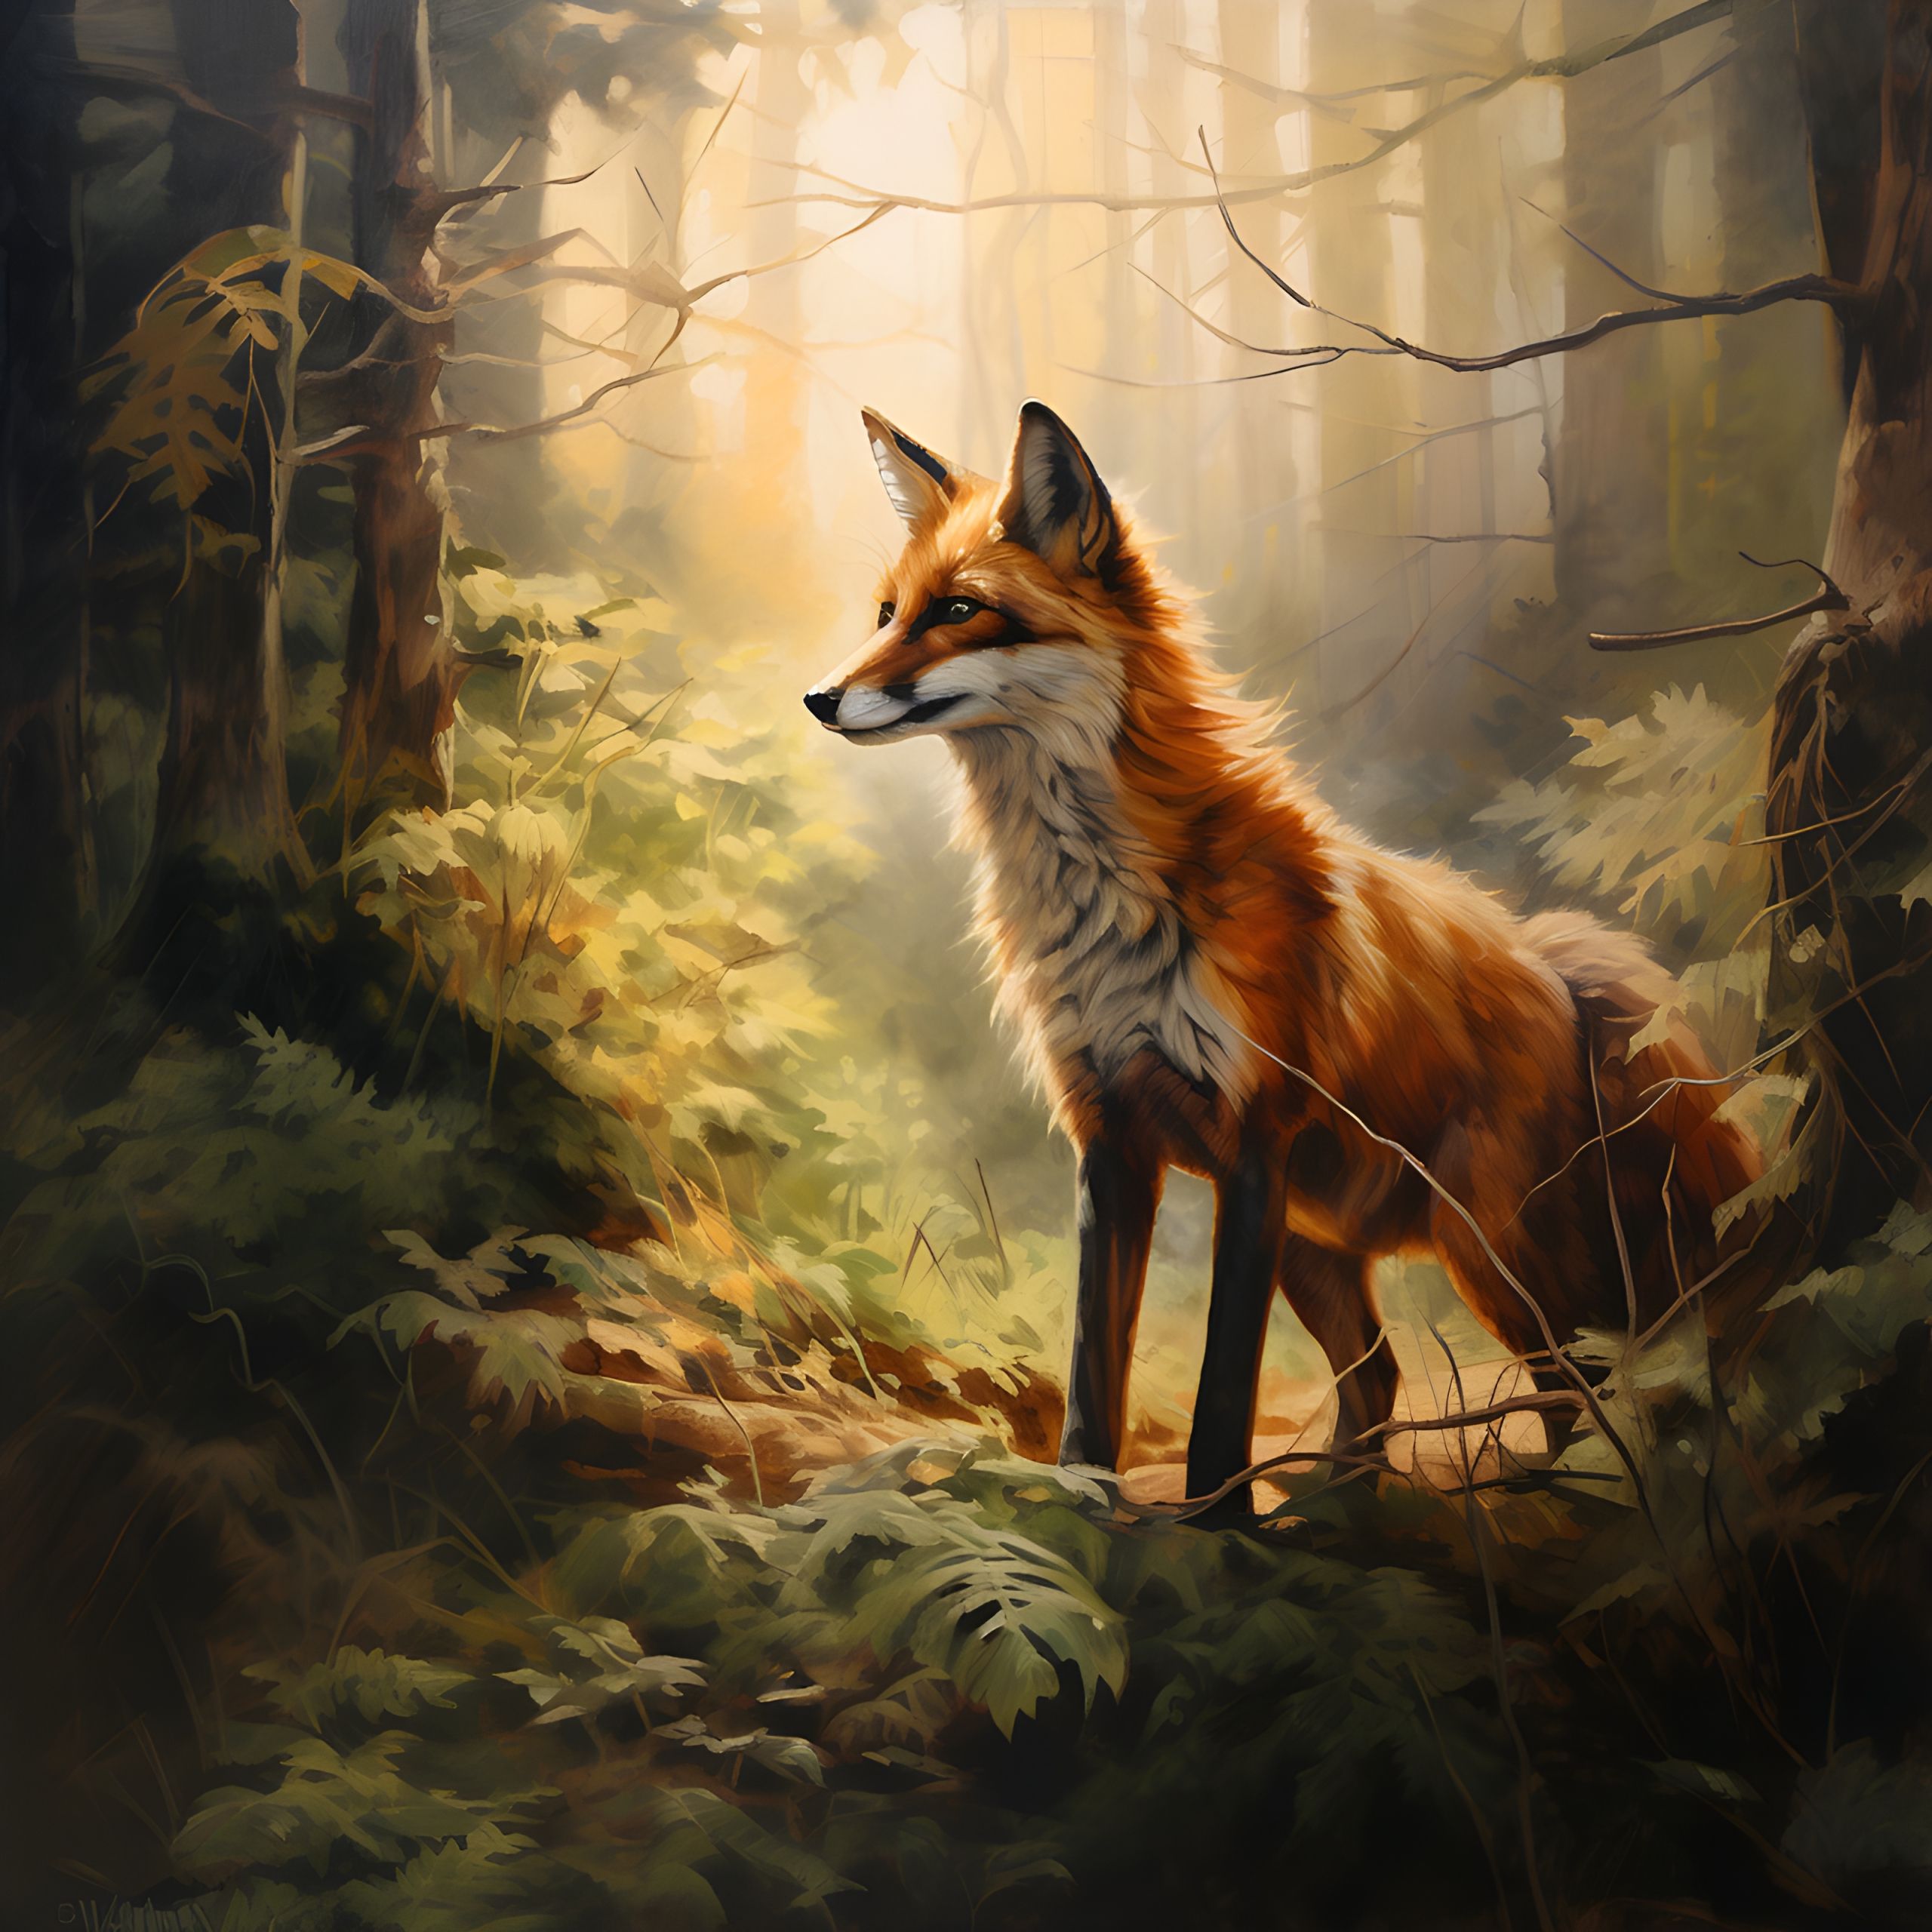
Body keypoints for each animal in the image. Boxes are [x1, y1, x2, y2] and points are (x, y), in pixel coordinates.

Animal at [805, 398, 1767, 1503]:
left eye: (959, 610)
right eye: (887, 613)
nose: (819, 698)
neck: (1106, 904)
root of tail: (1554, 954)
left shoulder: (1253, 1142)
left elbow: (1224, 1383)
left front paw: (1215, 1516)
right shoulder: (1111, 1138)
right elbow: (1095, 1365)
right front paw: (1084, 1500)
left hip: (1492, 1243)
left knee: (1592, 1378)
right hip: (1330, 1247)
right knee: (1386, 1376)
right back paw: (1343, 1497)